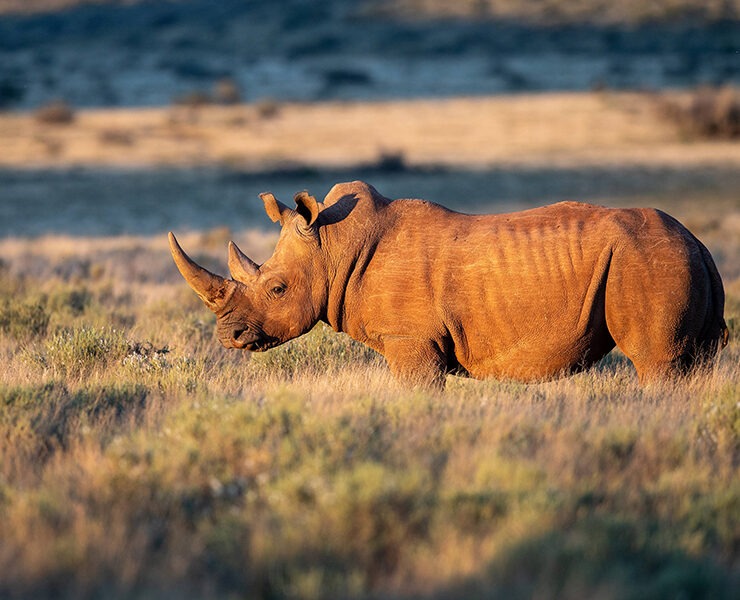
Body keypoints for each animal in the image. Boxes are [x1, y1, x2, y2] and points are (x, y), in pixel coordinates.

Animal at [169, 180, 728, 387]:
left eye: (278, 290)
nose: (228, 337)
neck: (333, 246)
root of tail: (699, 242)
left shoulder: (411, 341)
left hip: (647, 261)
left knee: (656, 364)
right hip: (674, 258)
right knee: (694, 364)